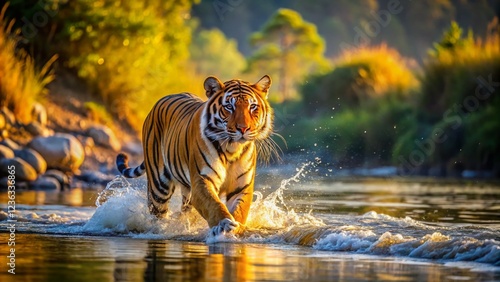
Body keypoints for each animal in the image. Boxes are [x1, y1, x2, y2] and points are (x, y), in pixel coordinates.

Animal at [115, 75, 276, 236]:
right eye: (229, 107)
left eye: (252, 106)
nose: (243, 128)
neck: (232, 148)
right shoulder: (202, 181)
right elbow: (215, 205)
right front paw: (224, 224)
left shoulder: (241, 187)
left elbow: (240, 210)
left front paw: (236, 229)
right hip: (158, 186)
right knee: (157, 214)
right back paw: (161, 229)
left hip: (186, 191)